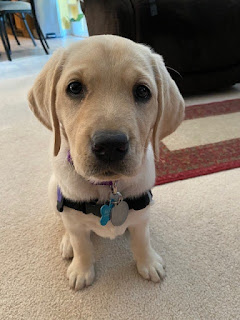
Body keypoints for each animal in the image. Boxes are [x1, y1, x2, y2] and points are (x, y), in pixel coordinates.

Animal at [28, 35, 186, 290]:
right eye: (74, 87)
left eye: (142, 91)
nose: (110, 145)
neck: (111, 188)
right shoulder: (74, 219)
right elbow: (82, 245)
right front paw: (82, 270)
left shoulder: (142, 214)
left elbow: (142, 239)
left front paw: (148, 262)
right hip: (54, 189)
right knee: (65, 222)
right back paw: (67, 243)